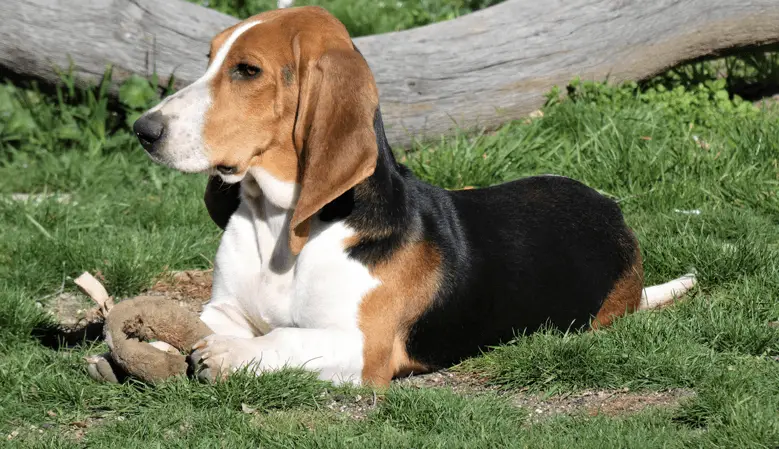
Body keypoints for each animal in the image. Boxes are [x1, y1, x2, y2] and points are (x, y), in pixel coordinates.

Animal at [131, 6, 696, 384]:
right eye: (209, 58)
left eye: (247, 70)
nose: (143, 130)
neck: (284, 224)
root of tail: (611, 209)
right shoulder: (224, 310)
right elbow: (185, 320)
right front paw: (141, 338)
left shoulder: (363, 348)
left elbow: (283, 336)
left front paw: (229, 354)